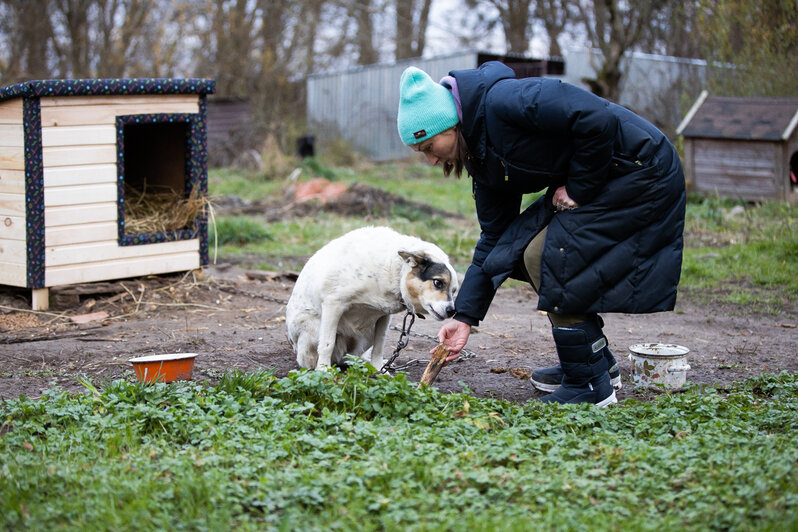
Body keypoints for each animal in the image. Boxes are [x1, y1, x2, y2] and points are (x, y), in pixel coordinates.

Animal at [290, 228, 462, 370]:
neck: (395, 270)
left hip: (366, 334)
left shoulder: (384, 316)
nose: (451, 311)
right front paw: (323, 371)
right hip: (313, 330)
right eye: (438, 282)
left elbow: (379, 345)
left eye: (454, 290)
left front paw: (379, 369)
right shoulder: (334, 304)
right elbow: (327, 343)